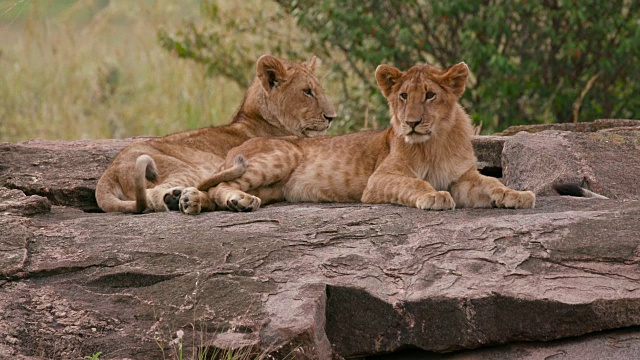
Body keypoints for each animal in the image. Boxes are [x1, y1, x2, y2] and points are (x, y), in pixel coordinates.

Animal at [185, 60, 536, 212]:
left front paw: (517, 195)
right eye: (403, 96)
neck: (434, 141)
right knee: (219, 185)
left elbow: (491, 183)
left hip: (275, 187)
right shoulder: (379, 179)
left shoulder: (463, 178)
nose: (411, 123)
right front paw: (433, 197)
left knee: (211, 189)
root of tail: (238, 144)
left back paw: (193, 202)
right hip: (279, 157)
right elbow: (415, 184)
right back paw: (238, 201)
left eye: (430, 95)